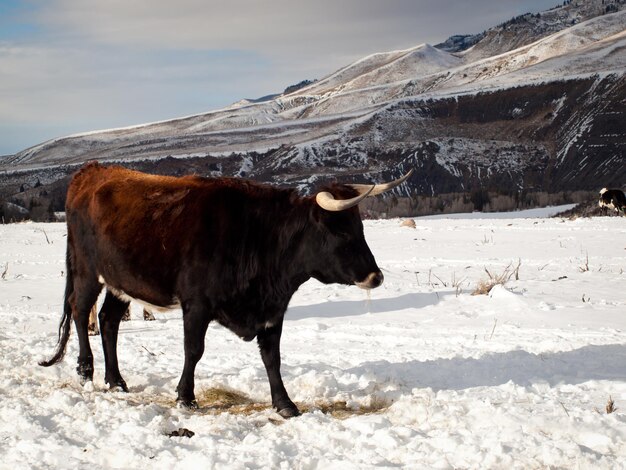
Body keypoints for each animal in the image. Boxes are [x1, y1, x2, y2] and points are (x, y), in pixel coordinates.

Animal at [37, 163, 410, 416]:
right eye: (340, 231)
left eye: (360, 227)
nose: (375, 276)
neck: (258, 237)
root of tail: (92, 171)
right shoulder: (197, 304)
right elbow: (193, 350)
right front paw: (186, 397)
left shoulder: (272, 311)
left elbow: (272, 358)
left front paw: (284, 403)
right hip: (88, 272)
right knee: (81, 311)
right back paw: (86, 371)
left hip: (122, 283)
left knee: (108, 321)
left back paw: (116, 381)